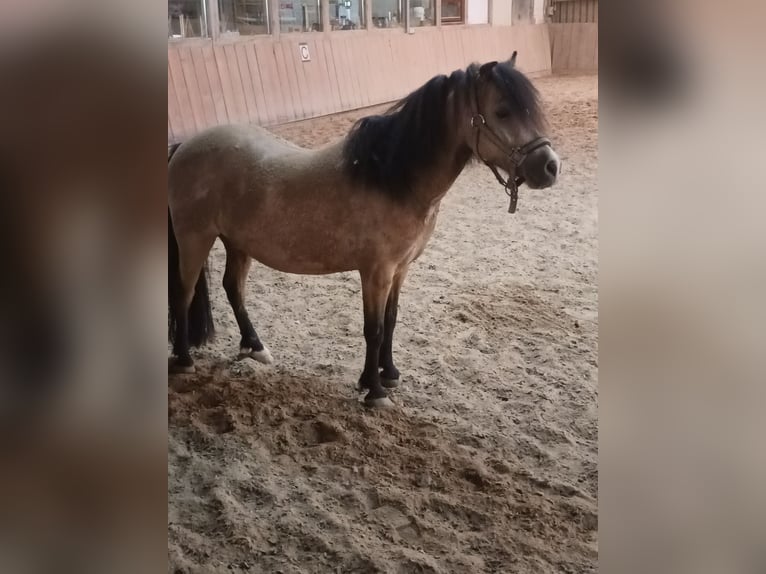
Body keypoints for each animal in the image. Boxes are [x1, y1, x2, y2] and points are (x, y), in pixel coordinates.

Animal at [170, 51, 564, 408]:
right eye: (502, 111)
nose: (550, 167)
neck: (392, 178)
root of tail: (185, 146)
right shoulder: (376, 272)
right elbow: (372, 330)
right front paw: (374, 392)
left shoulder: (399, 270)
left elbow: (390, 321)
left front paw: (387, 375)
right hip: (195, 239)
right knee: (184, 294)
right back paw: (184, 360)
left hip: (238, 243)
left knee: (232, 289)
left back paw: (255, 348)